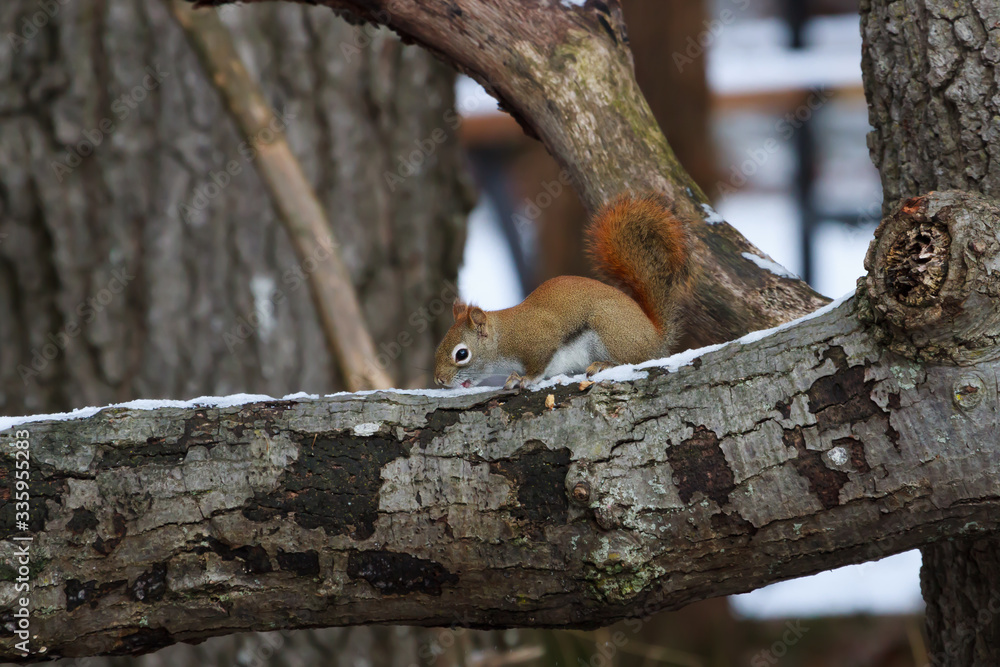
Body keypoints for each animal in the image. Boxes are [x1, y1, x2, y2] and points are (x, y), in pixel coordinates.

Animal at [433, 192, 692, 389]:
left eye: (461, 354)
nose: (439, 380)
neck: (505, 337)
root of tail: (656, 338)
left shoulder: (540, 339)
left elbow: (538, 367)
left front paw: (524, 379)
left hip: (609, 330)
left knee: (631, 360)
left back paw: (604, 364)